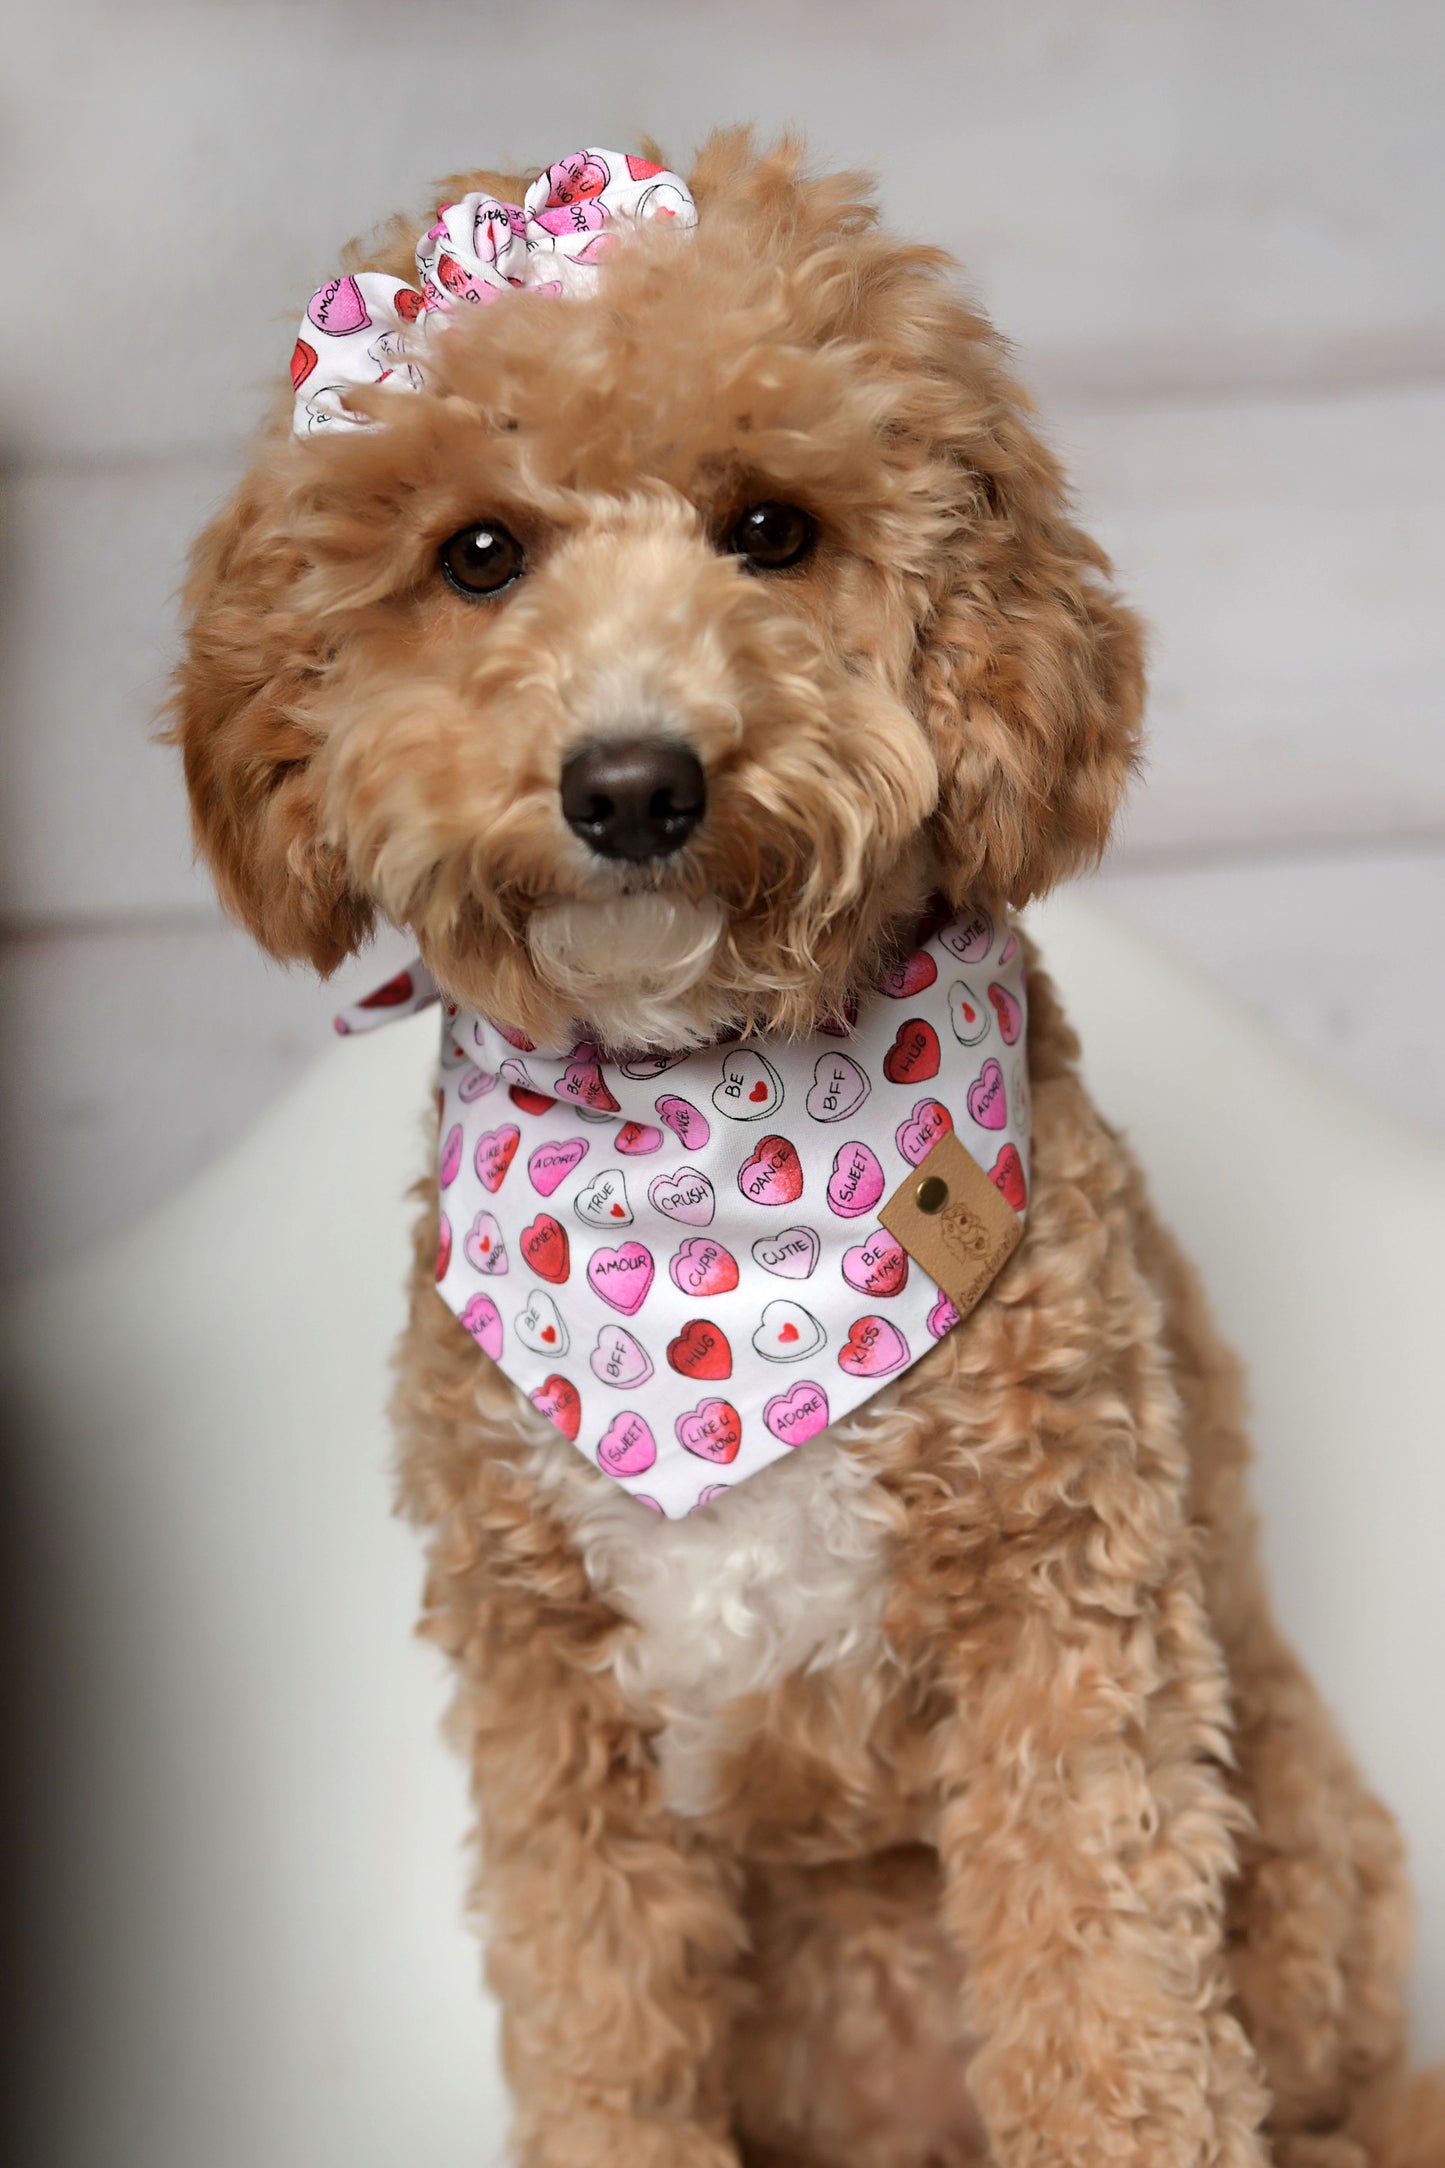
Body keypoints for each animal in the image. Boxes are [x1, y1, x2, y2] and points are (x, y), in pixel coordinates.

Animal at [166, 131, 1438, 2168]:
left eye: (770, 528)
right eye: (476, 554)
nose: (633, 784)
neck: (703, 1163)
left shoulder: (1065, 1633)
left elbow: (1111, 2006)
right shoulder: (549, 1704)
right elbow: (599, 2026)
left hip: (1308, 1886)